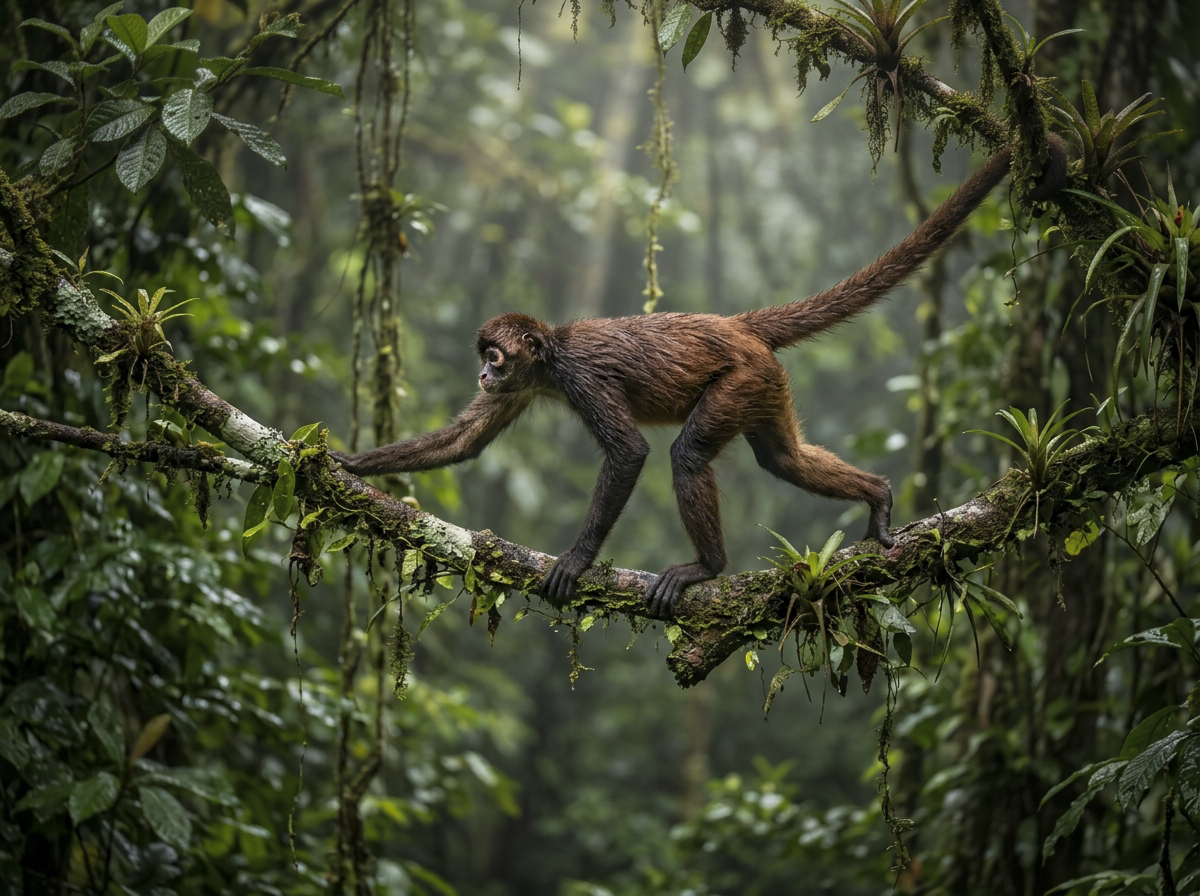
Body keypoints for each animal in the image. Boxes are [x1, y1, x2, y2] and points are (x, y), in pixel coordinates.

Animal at [332, 137, 1066, 617]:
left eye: (495, 356)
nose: (484, 372)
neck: (553, 353)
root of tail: (737, 326)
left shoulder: (577, 379)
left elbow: (630, 453)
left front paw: (577, 560)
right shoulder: (534, 384)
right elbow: (464, 444)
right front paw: (346, 465)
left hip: (741, 378)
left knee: (688, 453)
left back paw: (708, 569)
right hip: (767, 384)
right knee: (782, 458)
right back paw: (880, 496)